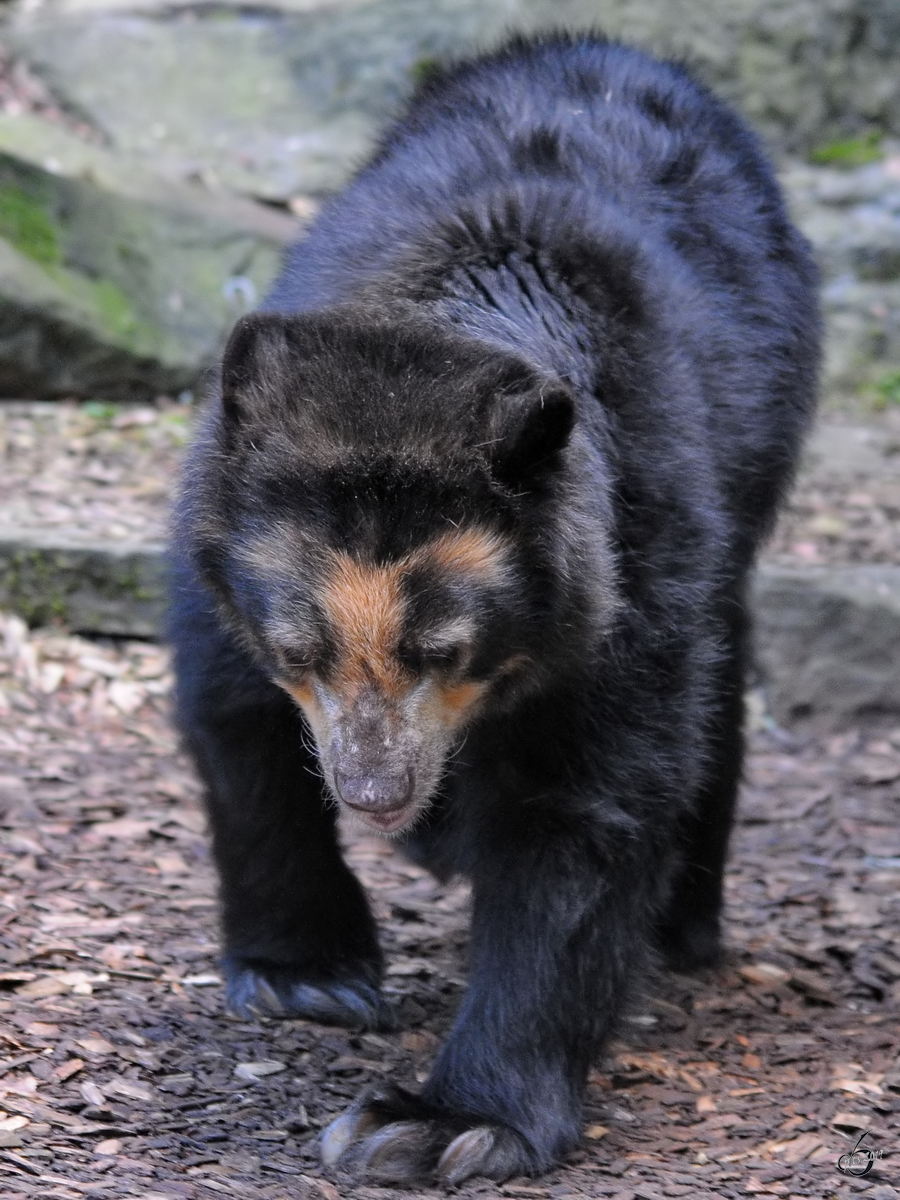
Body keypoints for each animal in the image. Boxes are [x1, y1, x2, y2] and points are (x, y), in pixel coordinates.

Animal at [169, 32, 825, 1185]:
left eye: (445, 648)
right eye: (299, 647)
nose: (378, 794)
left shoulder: (632, 553)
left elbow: (587, 805)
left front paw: (438, 1125)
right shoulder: (220, 543)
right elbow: (236, 719)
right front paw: (308, 978)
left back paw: (679, 928)